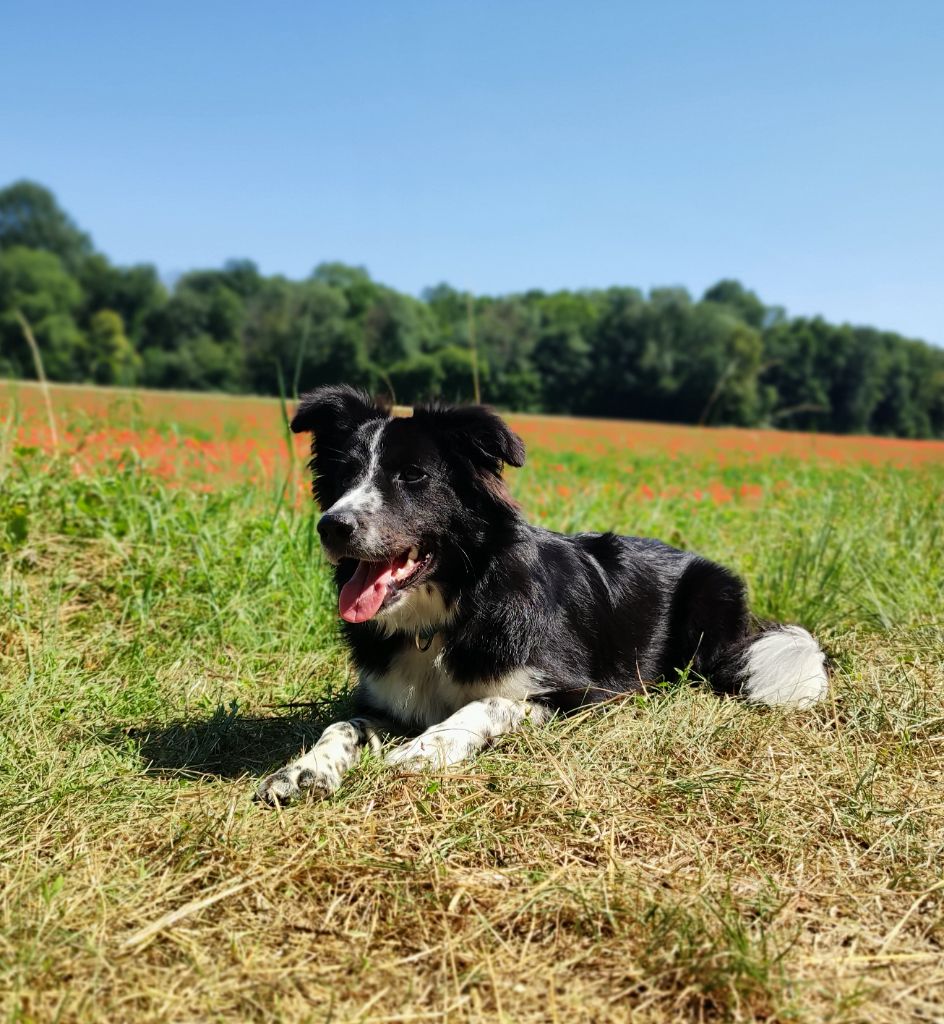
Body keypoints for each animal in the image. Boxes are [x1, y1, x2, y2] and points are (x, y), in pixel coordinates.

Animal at [255, 387, 823, 802]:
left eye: (413, 475)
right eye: (344, 476)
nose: (333, 526)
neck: (455, 607)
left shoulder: (585, 694)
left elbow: (486, 704)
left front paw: (427, 748)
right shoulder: (388, 698)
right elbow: (341, 723)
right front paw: (304, 768)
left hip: (709, 599)